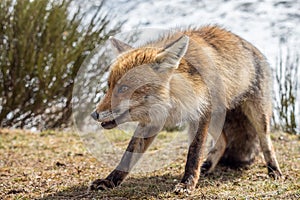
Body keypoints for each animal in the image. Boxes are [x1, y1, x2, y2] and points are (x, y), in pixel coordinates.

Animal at [89, 25, 282, 194]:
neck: (173, 100)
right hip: (216, 119)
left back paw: (274, 171)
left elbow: (194, 153)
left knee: (266, 142)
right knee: (223, 141)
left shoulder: (202, 113)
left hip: (257, 115)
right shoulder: (151, 121)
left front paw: (187, 184)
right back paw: (207, 166)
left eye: (123, 88)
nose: (94, 114)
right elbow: (128, 155)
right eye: (109, 86)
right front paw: (110, 180)